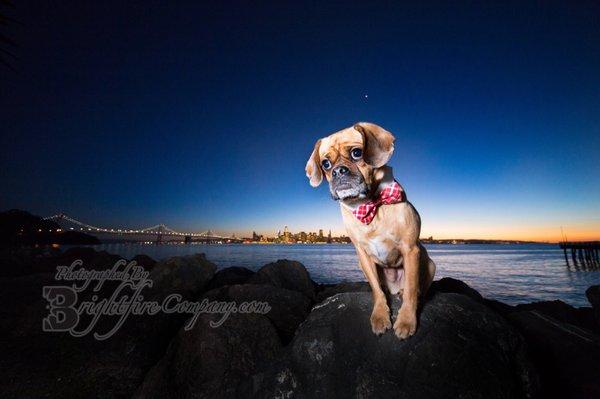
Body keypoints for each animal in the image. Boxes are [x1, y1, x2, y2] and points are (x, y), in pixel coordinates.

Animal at [304, 122, 436, 340]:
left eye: (357, 153)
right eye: (326, 164)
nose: (338, 171)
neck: (371, 204)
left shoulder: (411, 250)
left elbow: (410, 290)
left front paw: (406, 320)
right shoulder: (363, 256)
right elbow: (376, 289)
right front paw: (380, 315)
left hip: (429, 264)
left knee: (414, 289)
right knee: (385, 289)